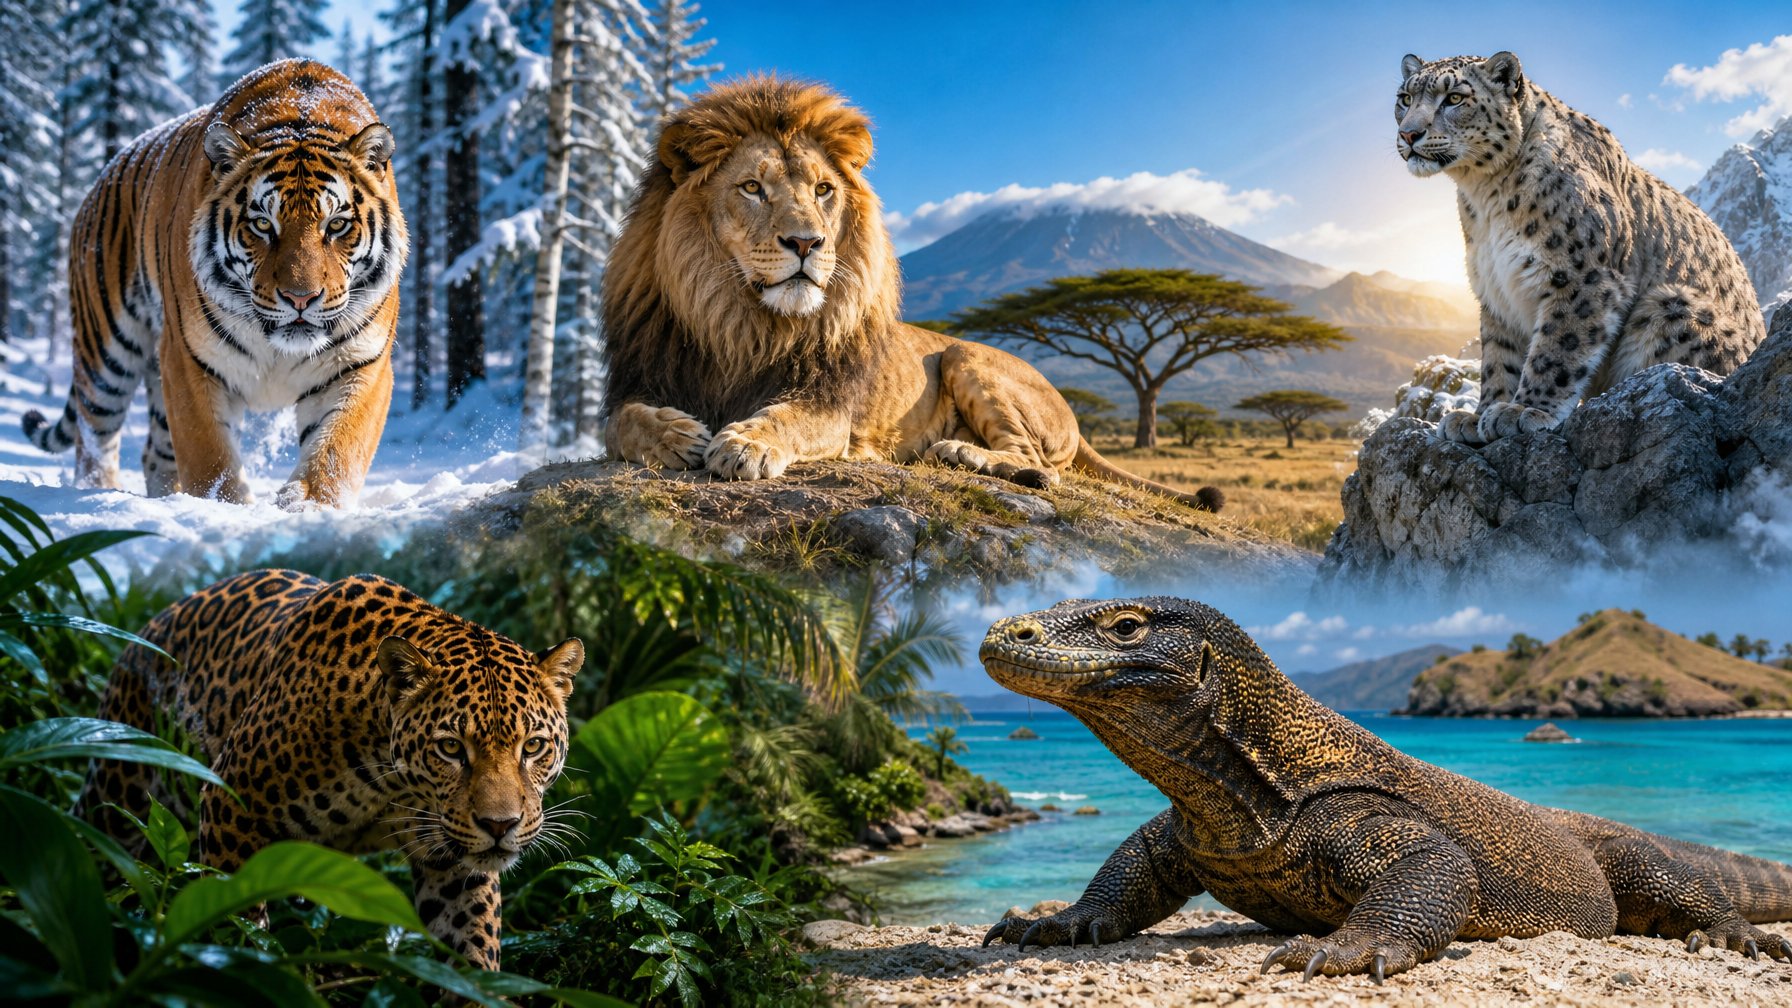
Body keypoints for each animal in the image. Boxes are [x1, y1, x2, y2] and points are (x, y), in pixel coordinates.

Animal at [77, 569, 584, 971]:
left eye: (533, 746)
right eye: (451, 748)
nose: (500, 826)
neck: (392, 780)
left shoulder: (453, 861)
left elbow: (471, 946)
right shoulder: (229, 802)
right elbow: (236, 924)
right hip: (117, 792)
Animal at [1397, 51, 1764, 445]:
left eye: (1454, 98)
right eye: (1405, 98)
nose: (1408, 133)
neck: (1484, 196)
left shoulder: (1580, 277)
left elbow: (1556, 347)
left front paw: (1524, 410)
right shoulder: (1495, 289)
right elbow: (1498, 357)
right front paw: (1479, 415)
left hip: (1669, 304)